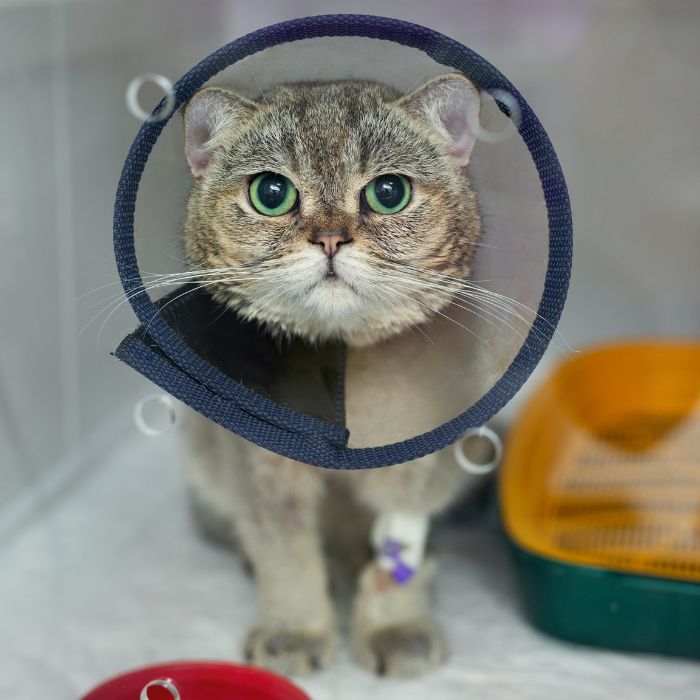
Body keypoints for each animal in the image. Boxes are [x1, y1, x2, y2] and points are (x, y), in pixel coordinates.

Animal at [179, 74, 482, 676]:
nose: (330, 239)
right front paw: (293, 633)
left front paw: (394, 627)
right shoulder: (261, 473)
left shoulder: (418, 463)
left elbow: (397, 551)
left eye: (389, 193)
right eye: (271, 194)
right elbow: (287, 557)